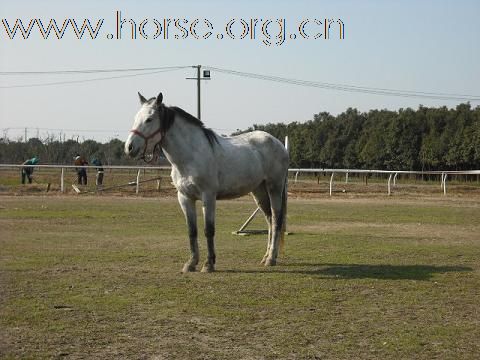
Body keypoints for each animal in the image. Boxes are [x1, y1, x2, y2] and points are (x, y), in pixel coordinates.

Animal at [124, 93, 288, 272]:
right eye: (135, 118)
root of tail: (278, 144)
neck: (190, 155)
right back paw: (266, 257)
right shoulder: (185, 198)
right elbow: (192, 231)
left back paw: (271, 259)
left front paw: (208, 264)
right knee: (269, 219)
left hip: (274, 188)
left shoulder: (208, 197)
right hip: (259, 191)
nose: (129, 148)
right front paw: (191, 263)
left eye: (149, 119)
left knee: (276, 220)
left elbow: (208, 230)